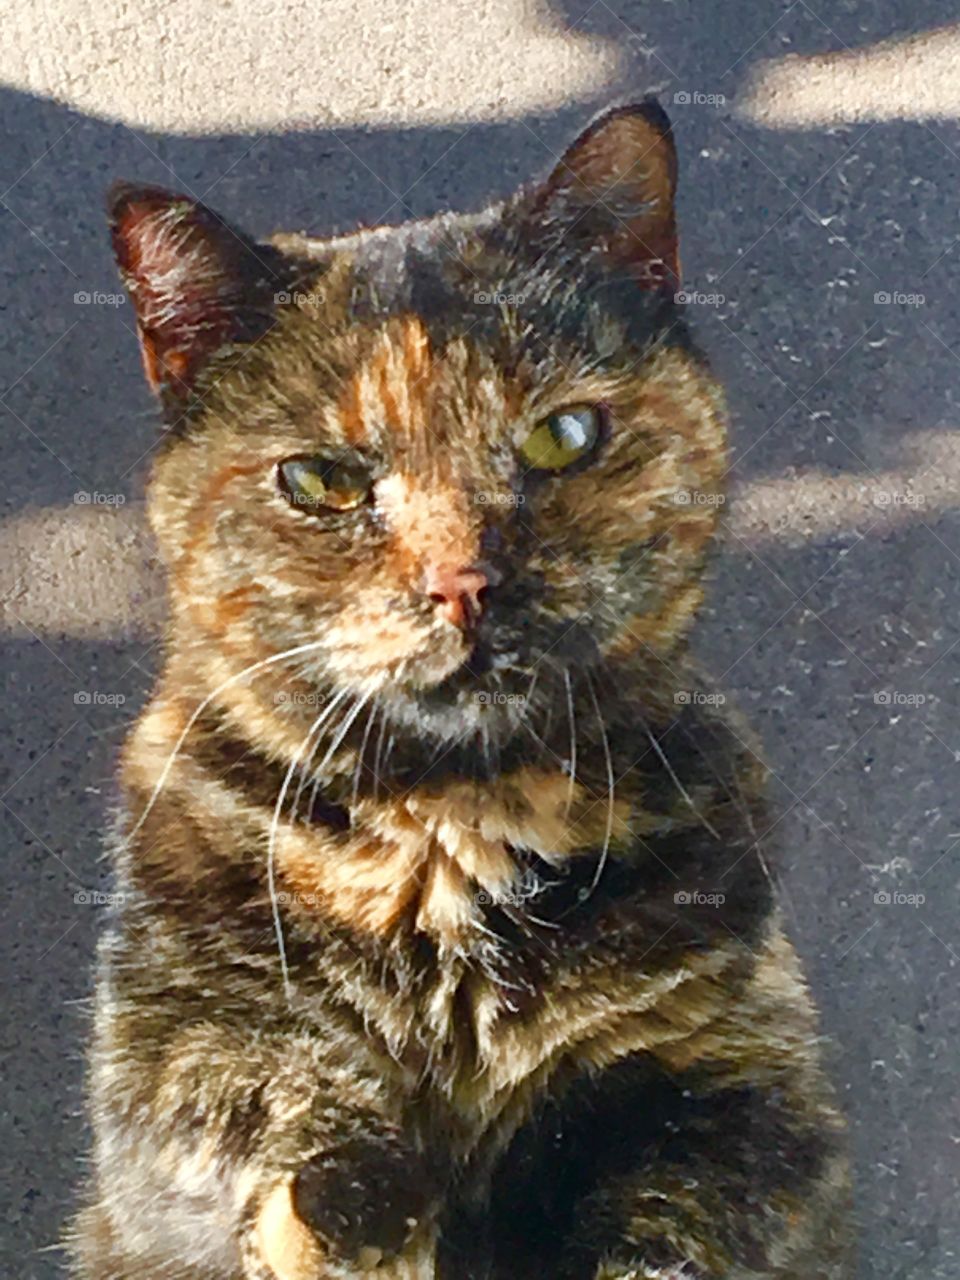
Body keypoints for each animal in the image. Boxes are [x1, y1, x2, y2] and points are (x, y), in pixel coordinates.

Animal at [69, 99, 855, 1280]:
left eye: (561, 435)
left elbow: (678, 1222)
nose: (463, 581)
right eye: (323, 479)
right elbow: (266, 1089)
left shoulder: (744, 1078)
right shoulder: (168, 1046)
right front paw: (352, 1210)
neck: (448, 833)